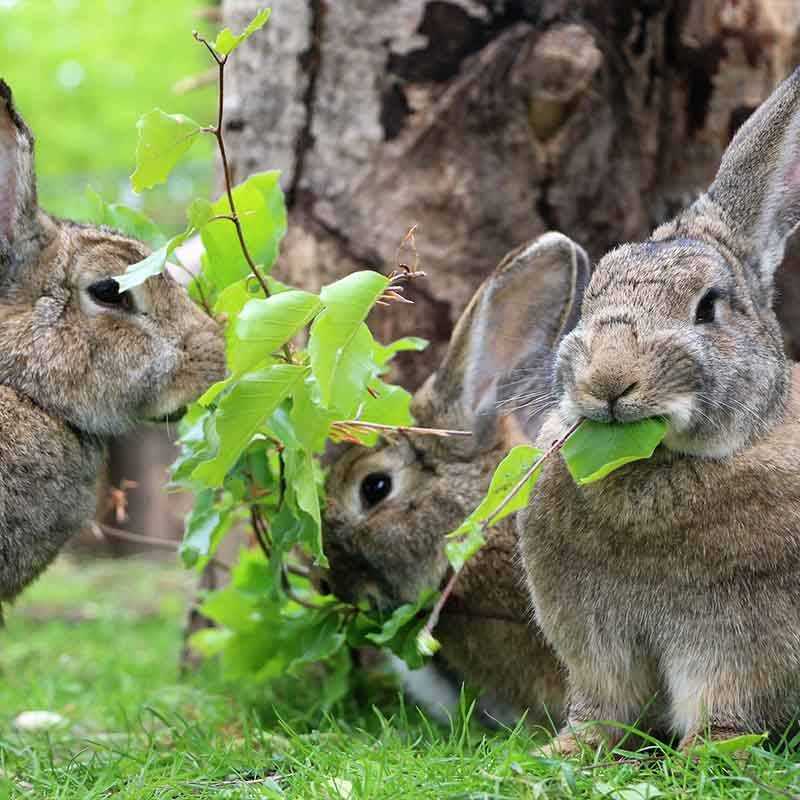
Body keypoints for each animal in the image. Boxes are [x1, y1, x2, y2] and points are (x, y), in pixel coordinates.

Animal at [520, 64, 800, 756]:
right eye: (591, 297)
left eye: (708, 307)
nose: (609, 380)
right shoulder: (596, 640)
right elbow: (604, 705)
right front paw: (569, 750)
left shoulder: (740, 638)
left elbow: (725, 703)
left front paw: (712, 750)